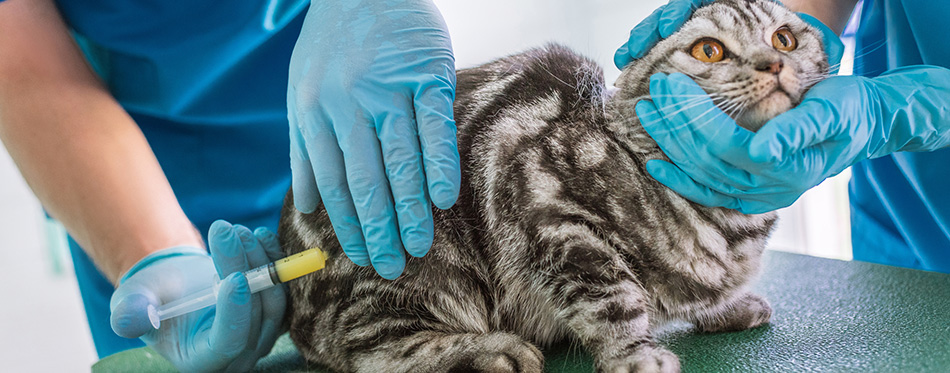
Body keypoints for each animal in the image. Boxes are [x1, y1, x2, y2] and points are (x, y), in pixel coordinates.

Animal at [278, 1, 828, 370]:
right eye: (709, 51)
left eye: (784, 39)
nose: (773, 63)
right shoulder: (552, 212)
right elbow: (615, 300)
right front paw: (635, 355)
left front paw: (728, 305)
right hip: (418, 265)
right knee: (375, 351)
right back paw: (496, 351)